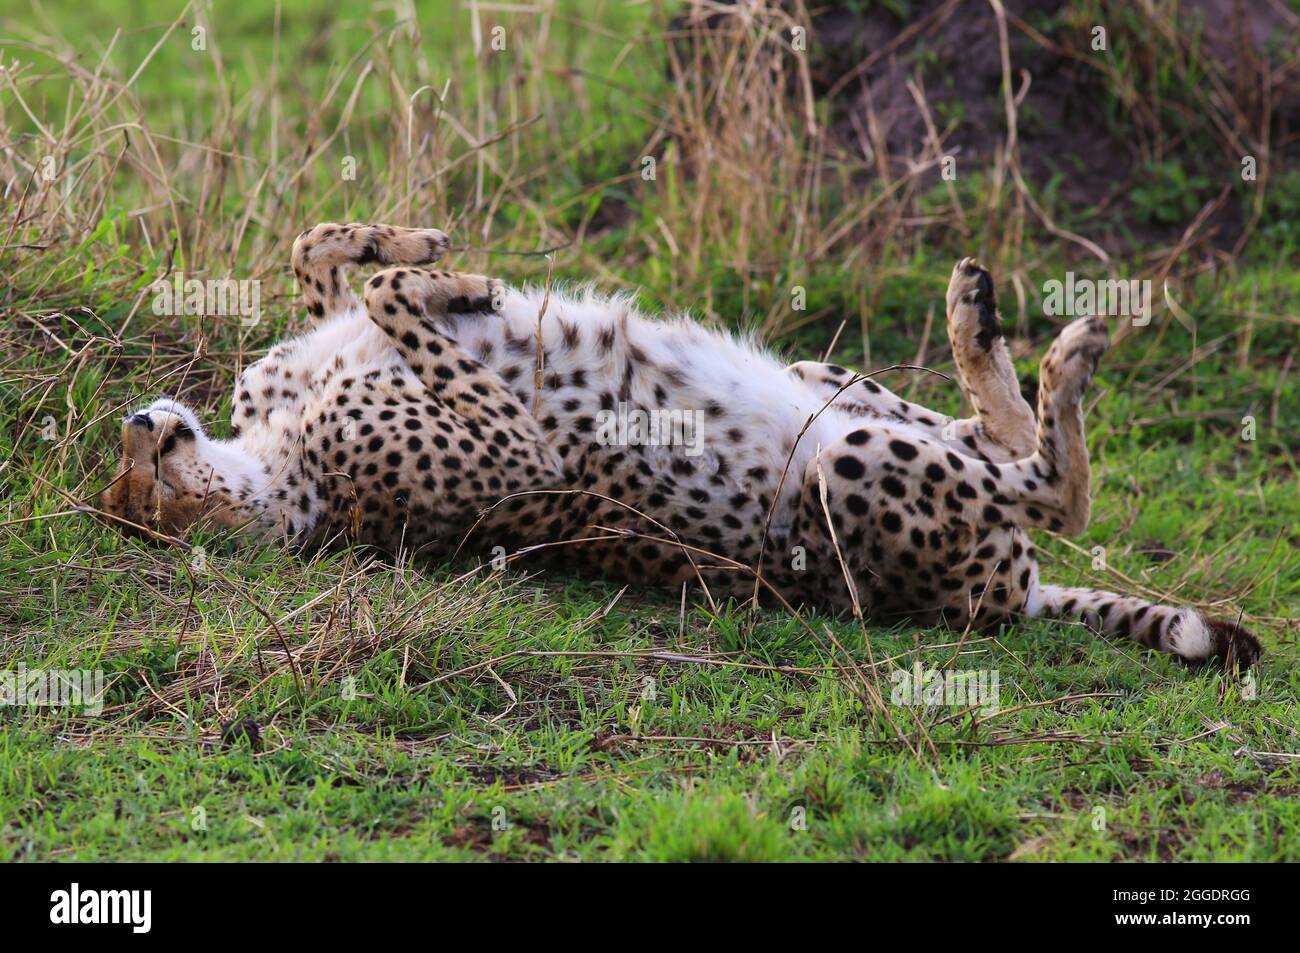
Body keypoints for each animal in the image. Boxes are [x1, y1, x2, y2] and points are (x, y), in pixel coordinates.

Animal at [101, 223, 1258, 670]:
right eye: (148, 490)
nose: (139, 425)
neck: (274, 465)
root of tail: (1008, 596)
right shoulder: (520, 460)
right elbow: (385, 294)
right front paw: (446, 274)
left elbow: (326, 260)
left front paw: (425, 248)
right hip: (848, 471)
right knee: (1057, 491)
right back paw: (1064, 352)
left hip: (824, 387)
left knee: (992, 434)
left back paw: (978, 316)